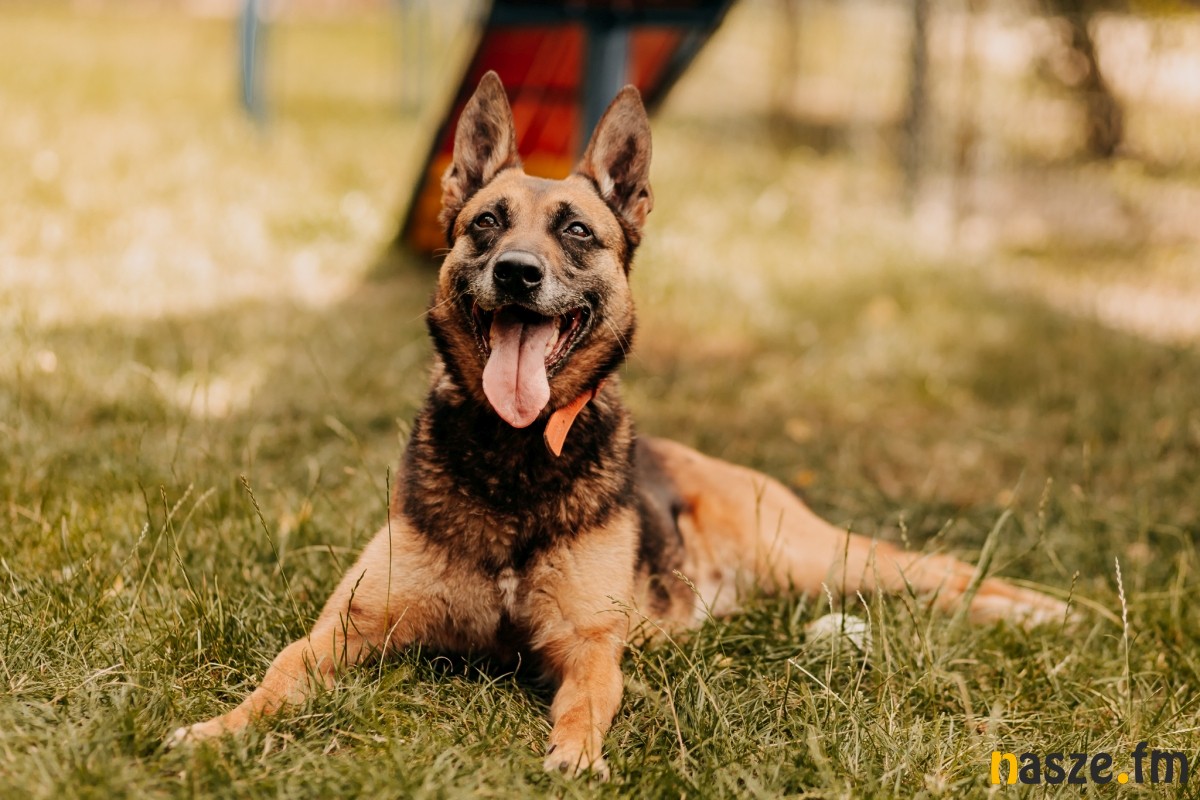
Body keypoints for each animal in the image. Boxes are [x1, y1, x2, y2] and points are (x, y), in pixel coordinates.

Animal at [173, 72, 1067, 776]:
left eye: (576, 230)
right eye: (487, 223)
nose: (517, 274)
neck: (515, 456)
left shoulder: (588, 648)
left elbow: (586, 701)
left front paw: (576, 753)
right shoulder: (345, 630)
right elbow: (279, 673)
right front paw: (219, 728)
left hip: (823, 560)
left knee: (940, 570)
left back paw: (1040, 609)